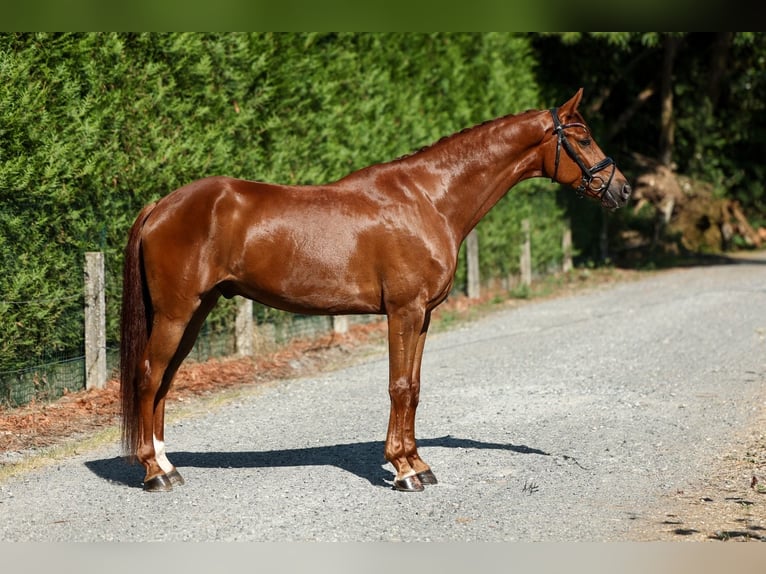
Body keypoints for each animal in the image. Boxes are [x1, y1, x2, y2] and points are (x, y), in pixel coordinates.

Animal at [120, 88, 631, 492]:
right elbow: (399, 386)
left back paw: (167, 464)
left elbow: (415, 387)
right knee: (148, 375)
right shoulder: (404, 311)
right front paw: (404, 471)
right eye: (583, 136)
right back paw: (154, 473)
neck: (428, 199)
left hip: (195, 312)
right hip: (176, 313)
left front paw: (418, 464)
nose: (622, 190)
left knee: (165, 380)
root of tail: (161, 204)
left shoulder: (423, 314)